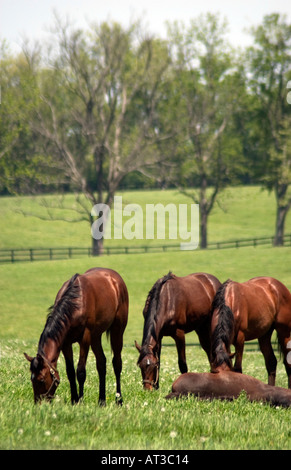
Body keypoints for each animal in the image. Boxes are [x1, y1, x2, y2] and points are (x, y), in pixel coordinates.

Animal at [24, 268, 129, 404]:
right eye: (32, 379)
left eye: (41, 379)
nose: (39, 403)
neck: (75, 304)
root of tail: (115, 277)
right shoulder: (65, 343)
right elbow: (70, 371)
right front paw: (74, 400)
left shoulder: (85, 339)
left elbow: (80, 371)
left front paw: (81, 401)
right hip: (96, 337)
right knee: (101, 363)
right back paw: (101, 401)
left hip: (117, 331)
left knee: (117, 363)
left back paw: (119, 400)